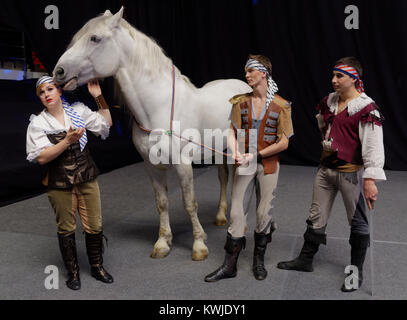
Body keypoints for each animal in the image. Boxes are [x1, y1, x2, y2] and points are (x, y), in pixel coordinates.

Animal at [53, 6, 252, 260]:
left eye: (94, 38)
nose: (59, 72)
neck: (158, 109)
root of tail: (244, 87)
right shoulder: (151, 166)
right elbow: (162, 203)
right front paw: (163, 243)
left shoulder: (183, 164)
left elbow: (190, 203)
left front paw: (199, 246)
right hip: (219, 149)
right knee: (224, 177)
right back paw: (220, 217)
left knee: (239, 179)